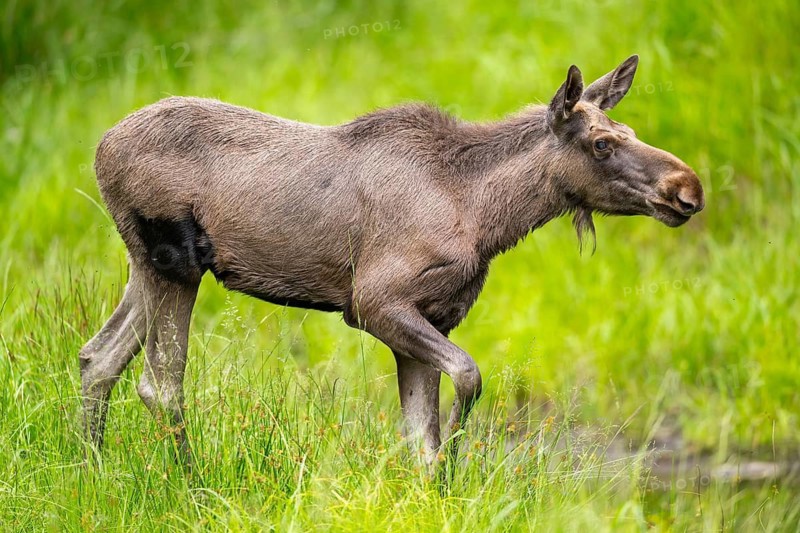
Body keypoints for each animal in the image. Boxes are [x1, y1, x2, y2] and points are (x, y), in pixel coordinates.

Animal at [79, 55, 704, 468]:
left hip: (147, 266)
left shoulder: (436, 315)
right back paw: (190, 481)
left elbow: (420, 440)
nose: (688, 190)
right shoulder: (374, 303)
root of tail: (99, 148)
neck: (486, 214)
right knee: (160, 383)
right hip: (175, 261)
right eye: (602, 143)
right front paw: (458, 459)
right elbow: (466, 382)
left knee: (98, 357)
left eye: (629, 129)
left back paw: (92, 469)